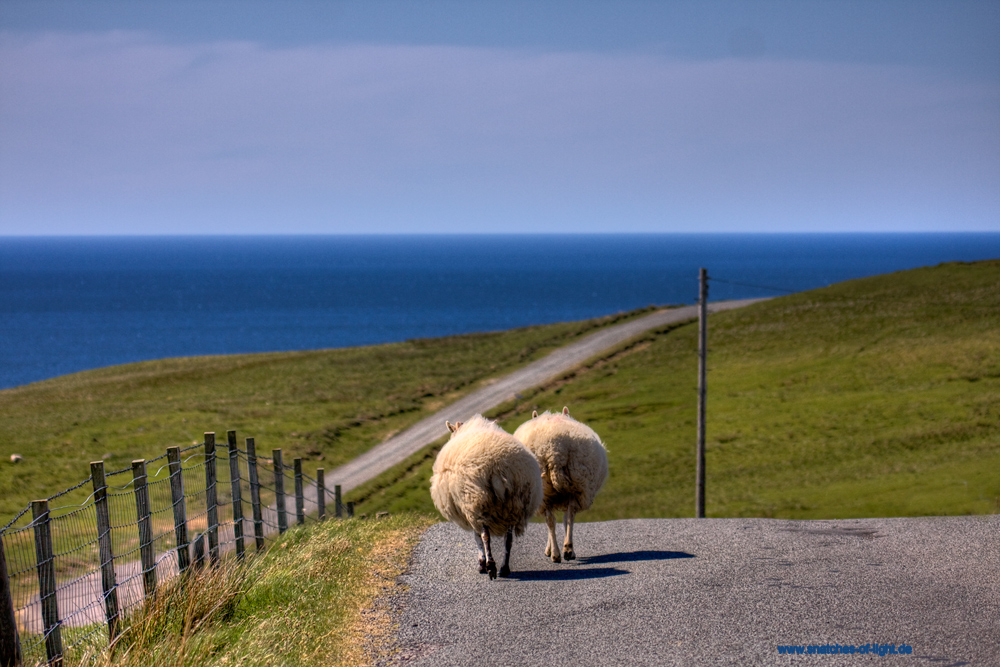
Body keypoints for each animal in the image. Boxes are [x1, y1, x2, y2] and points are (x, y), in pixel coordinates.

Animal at [428, 412, 540, 580]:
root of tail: (499, 470)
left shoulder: (469, 510)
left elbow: (477, 538)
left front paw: (481, 563)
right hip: (513, 505)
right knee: (508, 540)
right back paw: (504, 568)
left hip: (478, 502)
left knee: (485, 536)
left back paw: (490, 566)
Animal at [516, 408, 608, 564]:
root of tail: (555, 450)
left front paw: (548, 550)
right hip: (575, 487)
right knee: (568, 518)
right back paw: (567, 550)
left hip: (545, 490)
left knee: (551, 522)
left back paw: (556, 554)